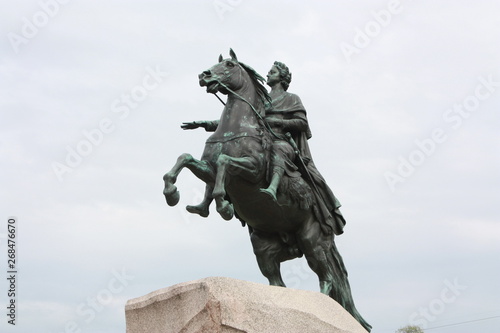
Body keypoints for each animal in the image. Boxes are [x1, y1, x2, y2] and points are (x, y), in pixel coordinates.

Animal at [162, 48, 370, 330]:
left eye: (229, 65)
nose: (203, 76)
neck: (235, 128)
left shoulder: (250, 171)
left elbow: (225, 164)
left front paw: (224, 205)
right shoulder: (207, 168)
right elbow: (185, 158)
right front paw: (173, 193)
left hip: (312, 242)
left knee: (327, 279)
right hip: (264, 249)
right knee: (277, 283)